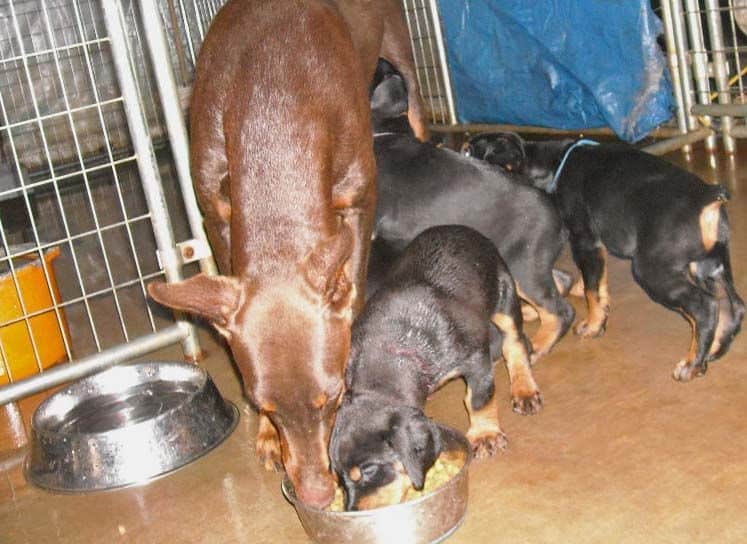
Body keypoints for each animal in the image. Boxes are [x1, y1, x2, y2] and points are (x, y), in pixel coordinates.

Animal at [148, 0, 426, 510]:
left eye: (335, 397)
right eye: (263, 405)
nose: (315, 495)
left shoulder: (360, 198)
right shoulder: (215, 211)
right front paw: (265, 438)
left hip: (402, 54)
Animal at [334, 224, 544, 510]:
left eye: (368, 470)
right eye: (340, 478)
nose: (353, 512)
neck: (390, 351)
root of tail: (459, 228)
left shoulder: (475, 359)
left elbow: (479, 400)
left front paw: (485, 435)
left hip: (505, 294)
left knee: (515, 344)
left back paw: (524, 390)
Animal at [372, 58, 576, 362]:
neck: (387, 131)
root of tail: (560, 222)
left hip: (524, 266)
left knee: (560, 310)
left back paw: (538, 346)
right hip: (528, 265)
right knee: (560, 283)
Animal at [464, 131, 744, 382]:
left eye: (468, 152)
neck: (552, 164)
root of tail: (709, 197)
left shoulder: (585, 240)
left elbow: (591, 290)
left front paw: (592, 326)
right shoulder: (597, 248)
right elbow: (599, 285)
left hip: (653, 269)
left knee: (705, 307)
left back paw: (691, 364)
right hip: (710, 265)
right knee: (732, 307)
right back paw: (711, 351)